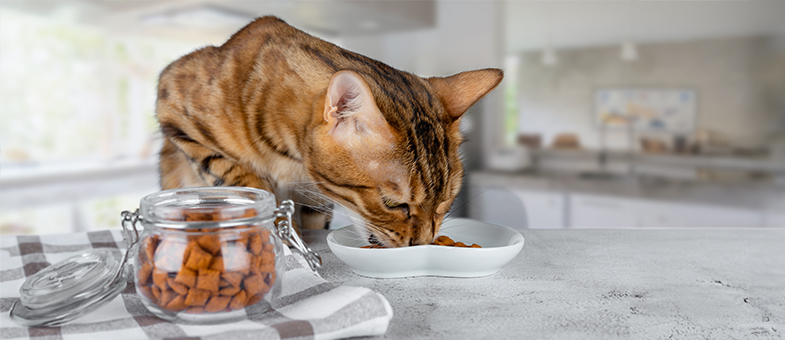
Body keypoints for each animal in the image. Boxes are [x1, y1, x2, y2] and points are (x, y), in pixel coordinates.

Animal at [156, 15, 502, 248]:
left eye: (447, 201)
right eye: (393, 204)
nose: (424, 244)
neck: (291, 159)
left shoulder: (315, 200)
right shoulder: (170, 102)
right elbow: (233, 173)